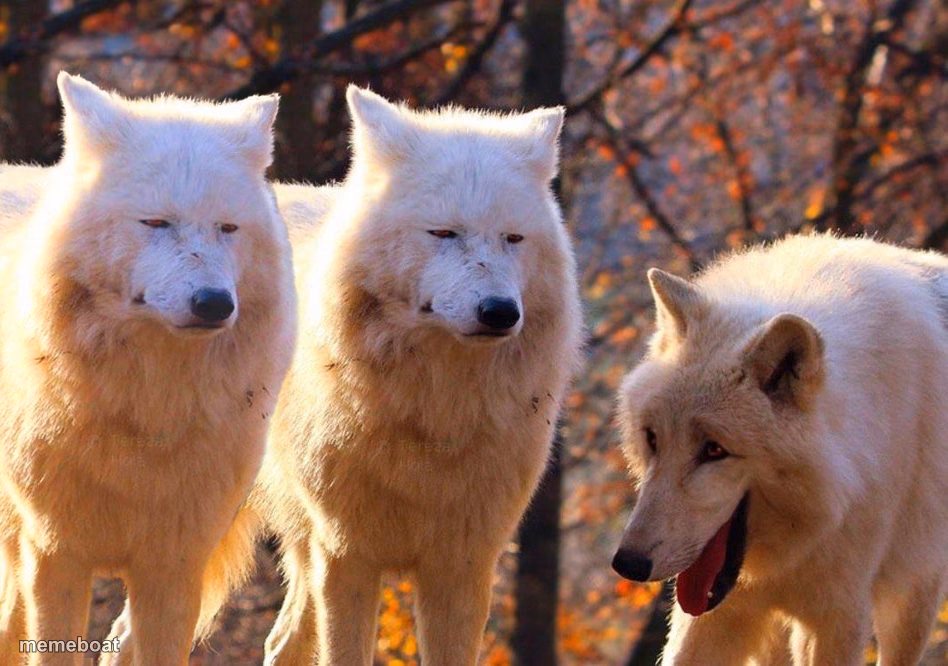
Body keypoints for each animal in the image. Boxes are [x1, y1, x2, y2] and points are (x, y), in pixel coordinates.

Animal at [0, 74, 296, 665]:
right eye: (156, 223)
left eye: (227, 228)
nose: (214, 304)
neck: (147, 412)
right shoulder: (54, 556)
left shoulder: (174, 567)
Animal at [611, 234, 948, 665]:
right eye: (653, 438)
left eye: (714, 450)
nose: (628, 563)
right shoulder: (715, 612)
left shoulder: (838, 617)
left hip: (911, 602)